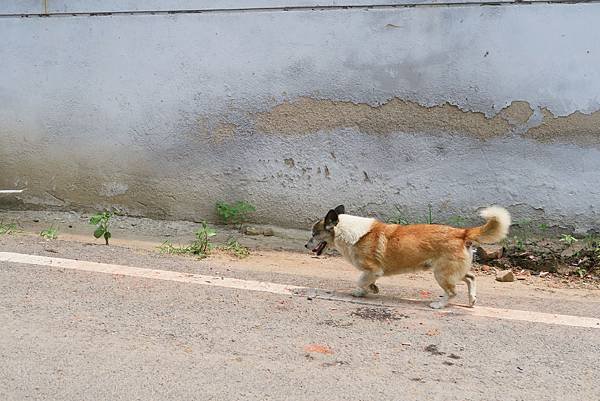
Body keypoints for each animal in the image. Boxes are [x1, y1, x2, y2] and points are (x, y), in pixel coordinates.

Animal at [304, 205, 510, 308]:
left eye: (314, 234)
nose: (306, 246)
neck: (347, 232)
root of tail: (461, 232)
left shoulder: (373, 269)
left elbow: (360, 280)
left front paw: (362, 291)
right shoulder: (371, 272)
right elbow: (366, 280)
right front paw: (371, 289)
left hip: (442, 274)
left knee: (453, 292)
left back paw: (439, 304)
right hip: (451, 271)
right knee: (470, 277)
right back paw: (471, 299)